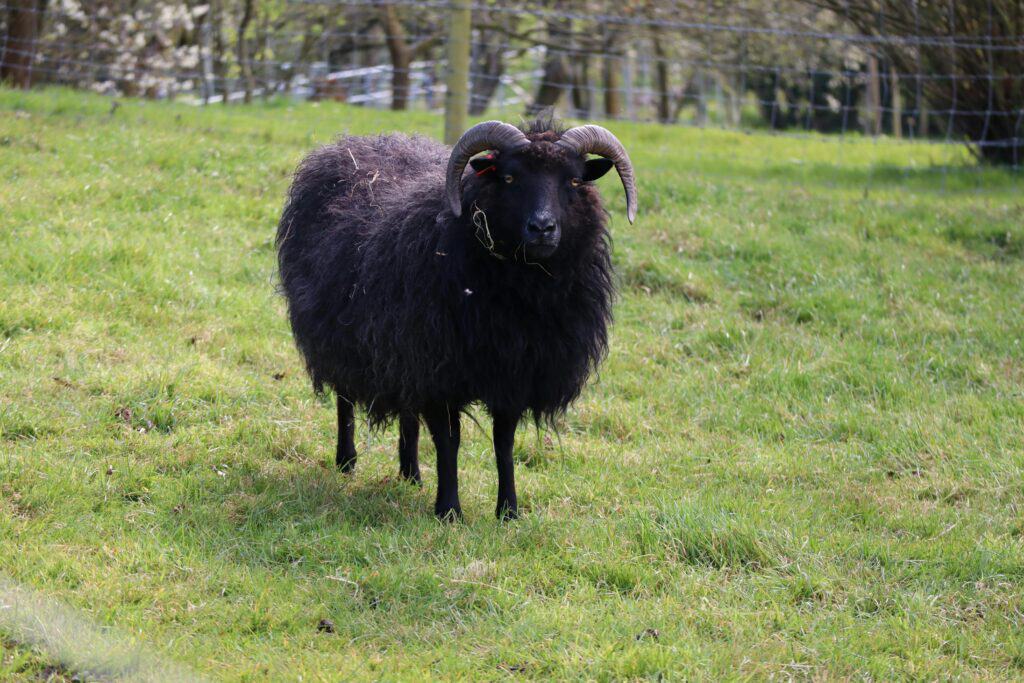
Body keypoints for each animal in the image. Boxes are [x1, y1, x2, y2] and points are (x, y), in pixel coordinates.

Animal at [276, 116, 638, 520]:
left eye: (573, 181)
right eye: (509, 178)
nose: (542, 228)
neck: (521, 295)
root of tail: (356, 141)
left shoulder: (512, 373)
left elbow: (504, 442)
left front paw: (508, 510)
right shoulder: (439, 370)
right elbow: (449, 442)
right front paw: (449, 509)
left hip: (399, 347)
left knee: (407, 411)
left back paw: (411, 473)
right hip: (343, 334)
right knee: (345, 398)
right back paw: (347, 461)